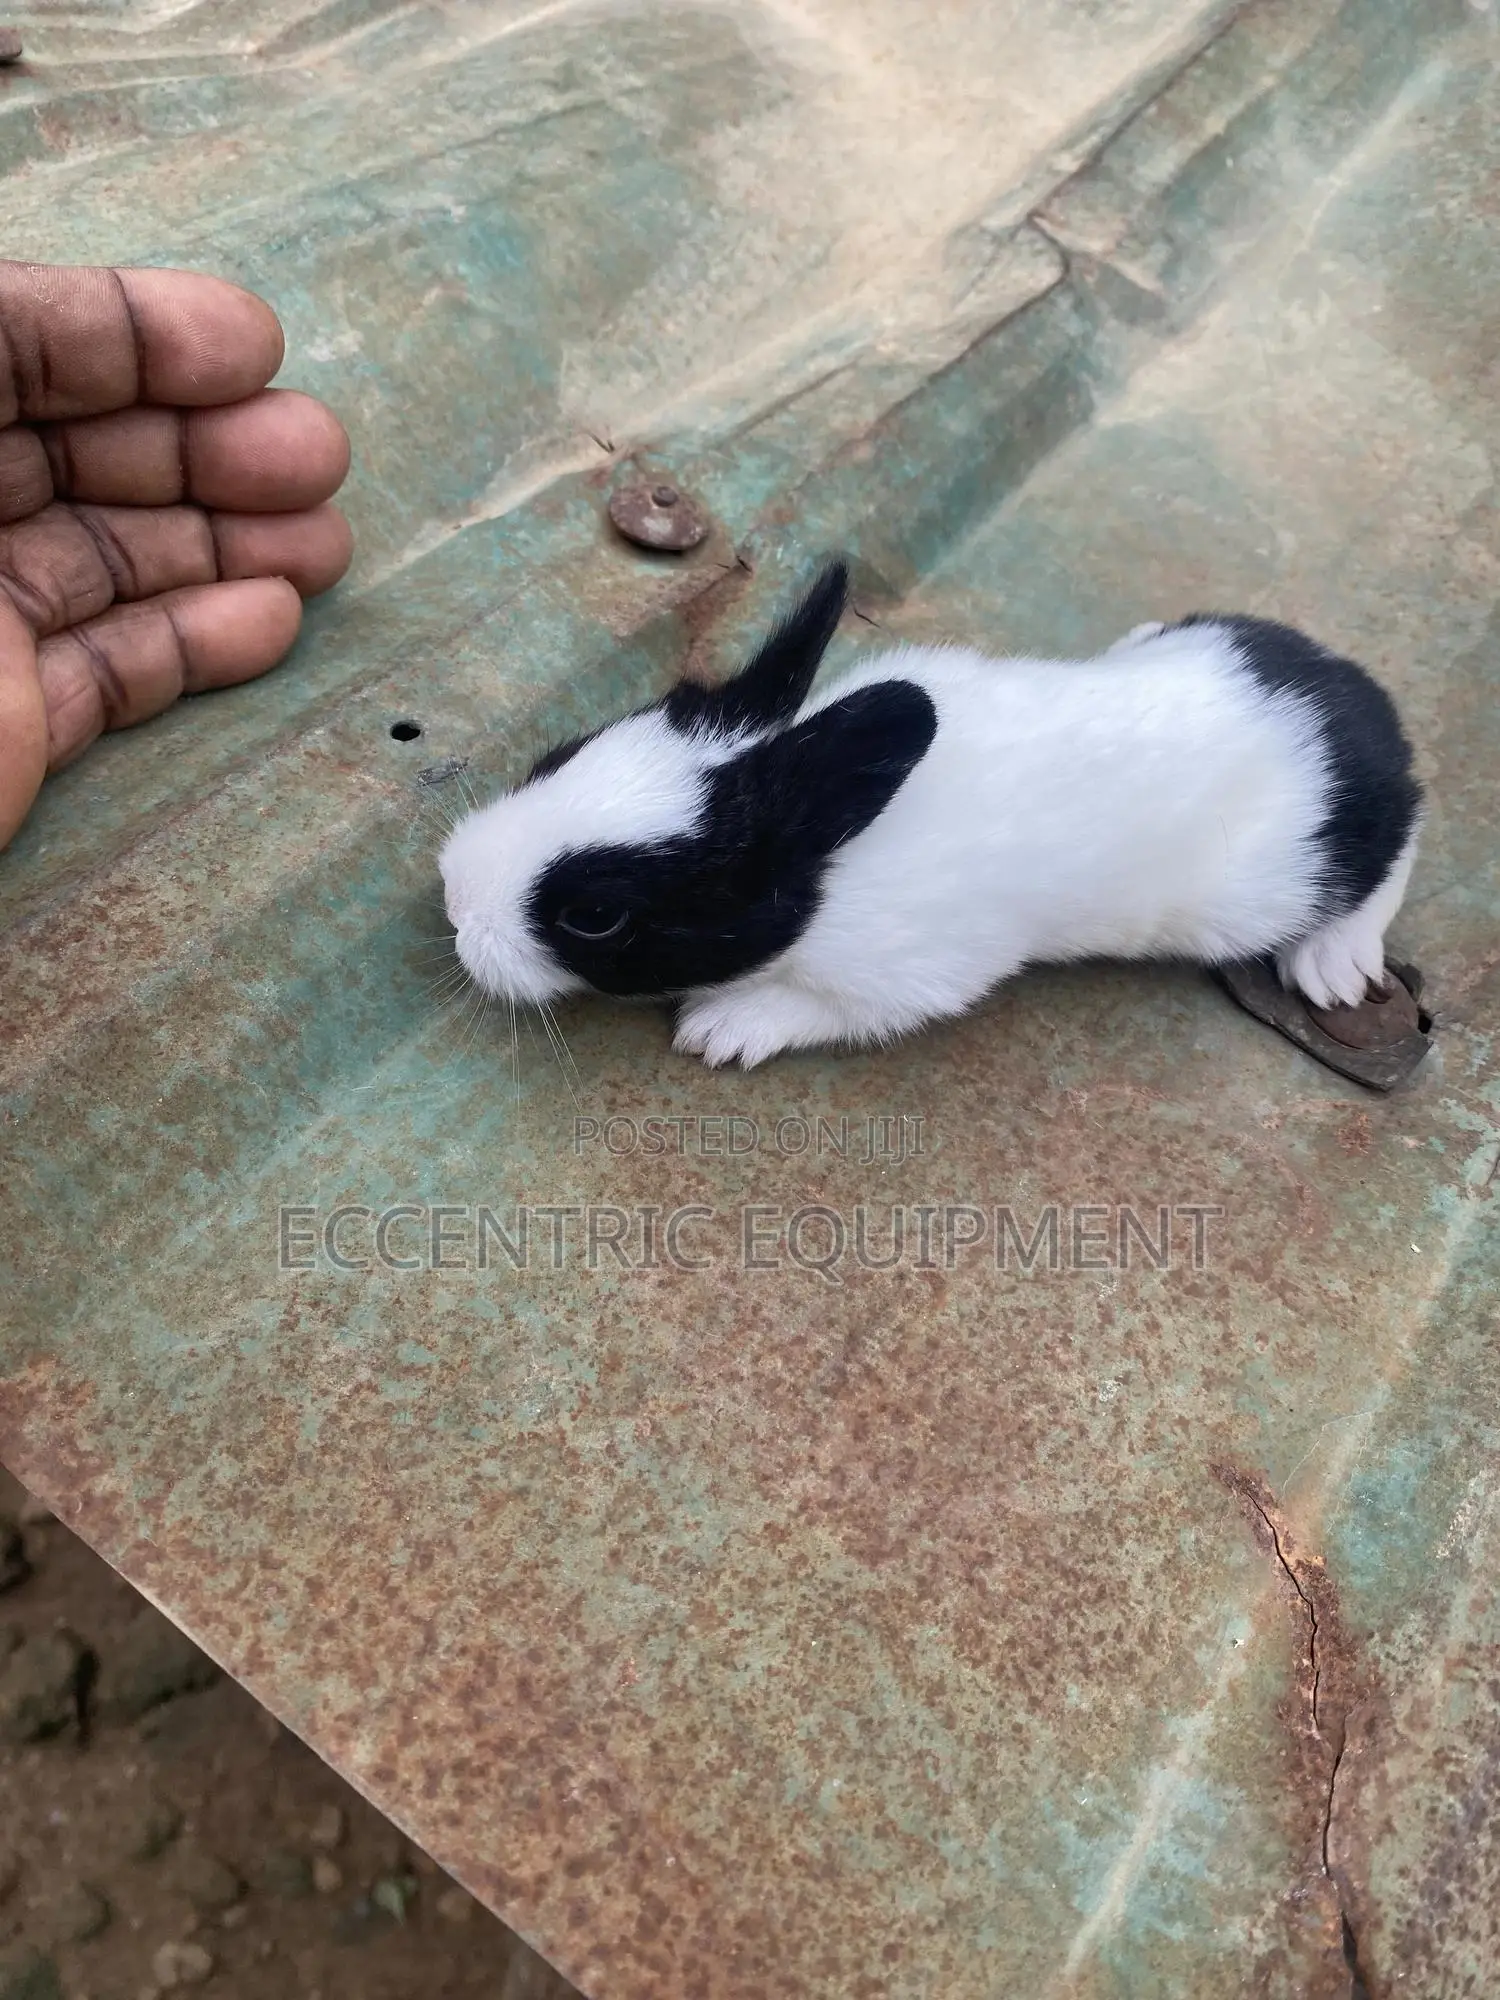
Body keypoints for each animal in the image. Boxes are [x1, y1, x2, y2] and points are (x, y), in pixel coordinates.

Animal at [438, 560, 1423, 1069]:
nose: (454, 903)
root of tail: (1358, 703)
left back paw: (1334, 964)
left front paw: (721, 1029)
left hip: (1271, 884)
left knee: (1404, 832)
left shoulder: (914, 976)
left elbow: (819, 1009)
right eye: (559, 755)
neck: (834, 856)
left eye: (595, 916)